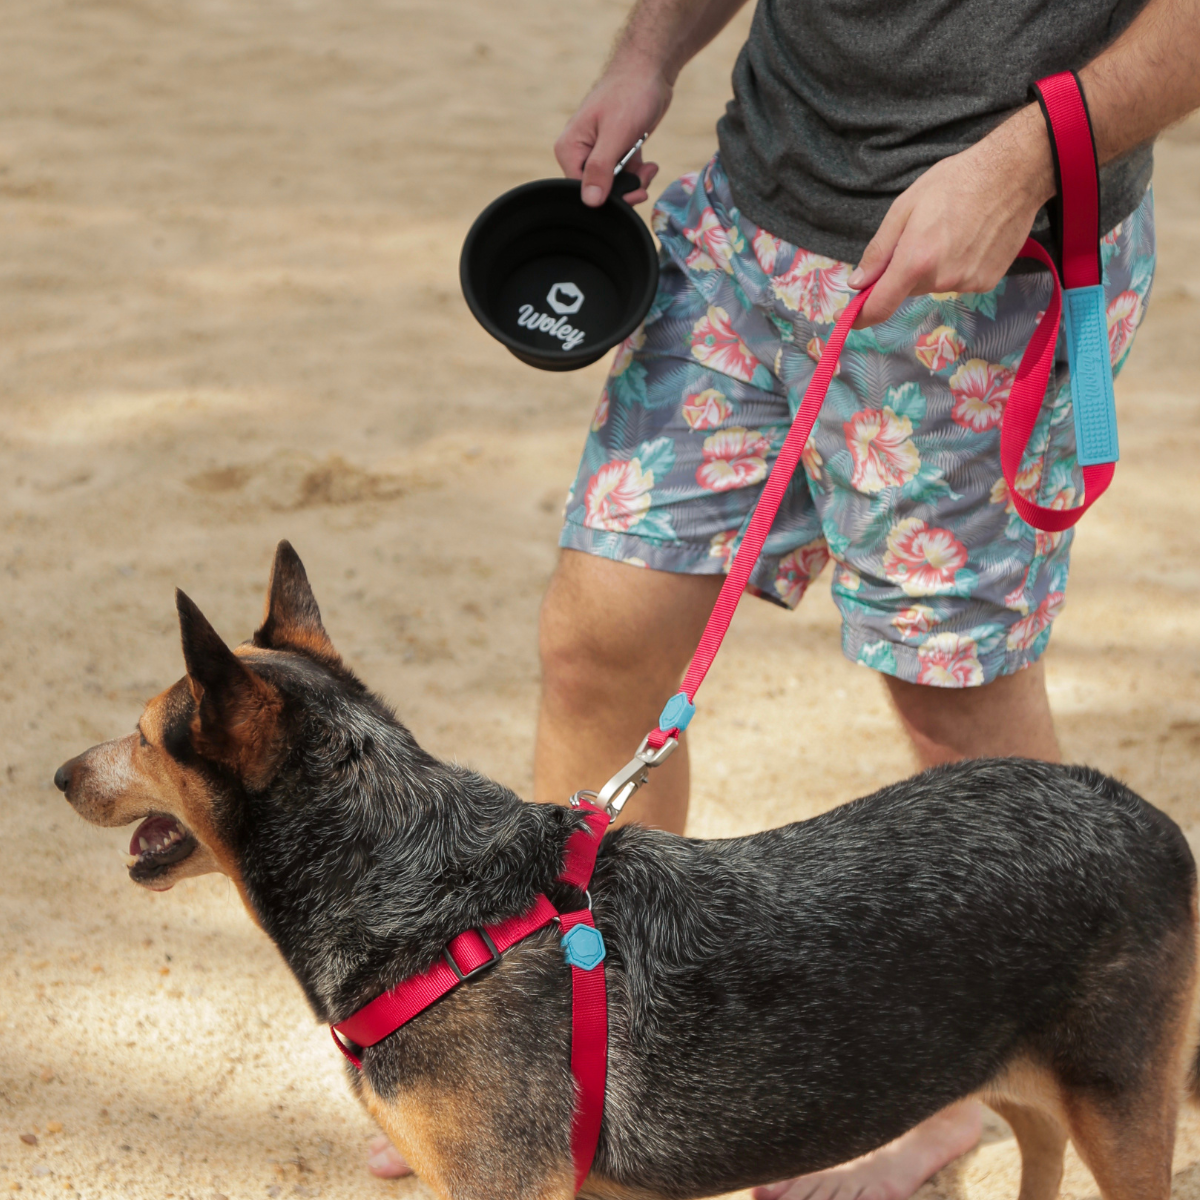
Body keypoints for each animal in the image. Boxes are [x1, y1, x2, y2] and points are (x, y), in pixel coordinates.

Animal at [54, 544, 1200, 1200]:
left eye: (146, 736)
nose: (60, 773)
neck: (424, 892)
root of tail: (1145, 812)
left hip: (1118, 1106)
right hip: (1026, 1083)